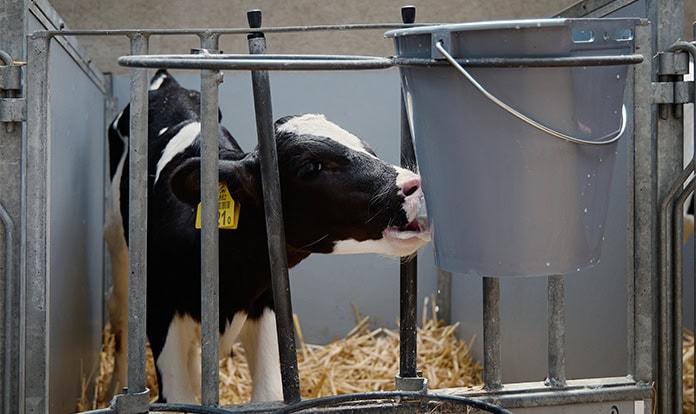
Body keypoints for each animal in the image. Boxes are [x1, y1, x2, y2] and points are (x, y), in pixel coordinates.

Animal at [105, 69, 430, 404]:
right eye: (310, 166)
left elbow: (268, 394)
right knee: (120, 312)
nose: (414, 185)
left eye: (368, 150)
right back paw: (117, 387)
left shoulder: (266, 301)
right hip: (117, 243)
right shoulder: (160, 312)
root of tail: (166, 80)